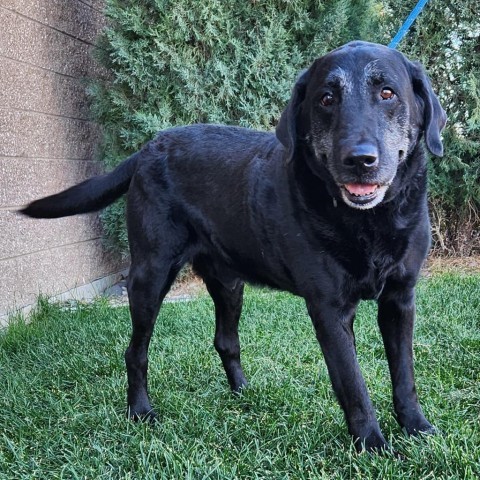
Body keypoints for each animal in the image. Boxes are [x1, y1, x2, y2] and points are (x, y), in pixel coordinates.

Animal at [21, 42, 446, 454]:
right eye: (326, 99)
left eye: (387, 92)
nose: (359, 159)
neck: (369, 222)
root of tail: (149, 146)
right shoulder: (329, 308)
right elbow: (353, 383)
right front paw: (372, 444)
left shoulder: (400, 299)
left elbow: (404, 374)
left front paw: (417, 428)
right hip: (150, 274)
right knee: (135, 351)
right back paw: (140, 410)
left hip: (229, 282)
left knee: (225, 340)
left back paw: (243, 391)